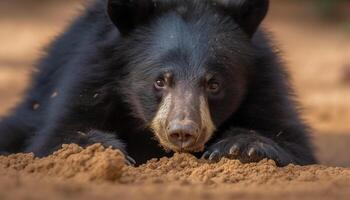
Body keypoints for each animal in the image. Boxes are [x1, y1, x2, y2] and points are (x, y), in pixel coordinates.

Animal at [0, 0, 318, 166]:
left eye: (214, 84)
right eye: (160, 81)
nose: (183, 132)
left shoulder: (264, 81)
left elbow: (293, 142)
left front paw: (239, 148)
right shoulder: (90, 77)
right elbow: (57, 136)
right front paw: (106, 149)